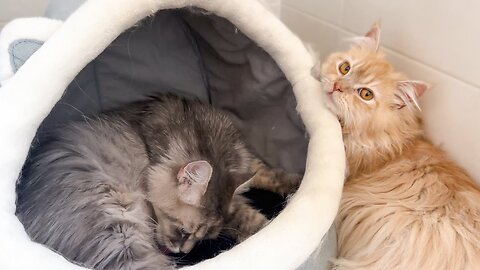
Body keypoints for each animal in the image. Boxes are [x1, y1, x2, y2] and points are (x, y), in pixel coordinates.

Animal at [17, 94, 300, 270]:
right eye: (185, 231)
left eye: (202, 238)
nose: (183, 252)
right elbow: (253, 220)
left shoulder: (245, 160)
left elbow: (265, 172)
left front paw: (295, 184)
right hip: (120, 230)